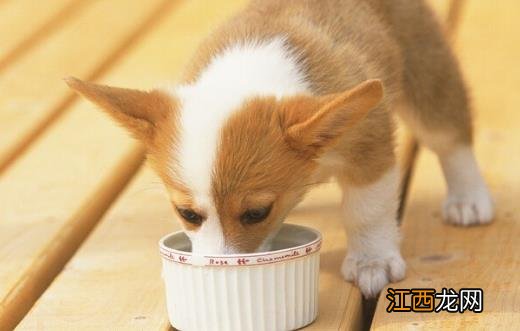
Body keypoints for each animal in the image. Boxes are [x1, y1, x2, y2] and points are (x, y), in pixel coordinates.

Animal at [65, 0, 492, 300]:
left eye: (257, 213)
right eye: (187, 214)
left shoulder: (369, 148)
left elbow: (367, 212)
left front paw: (372, 261)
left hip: (426, 73)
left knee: (449, 136)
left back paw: (468, 198)